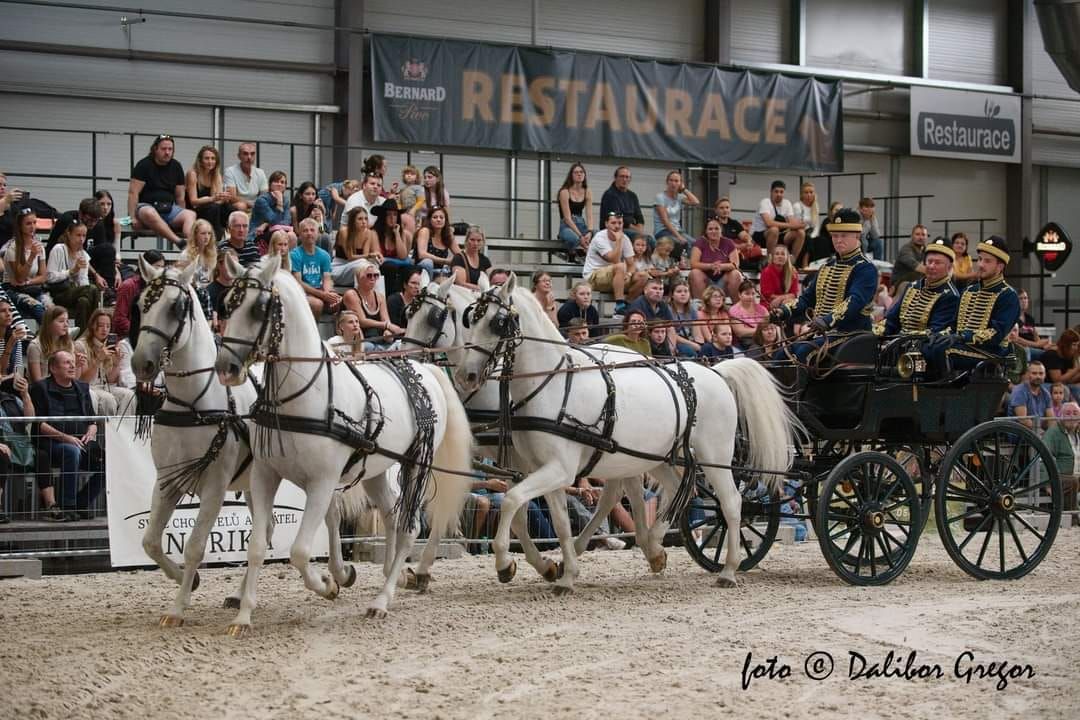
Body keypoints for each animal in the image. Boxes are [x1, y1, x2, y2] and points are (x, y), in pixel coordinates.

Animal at [214, 254, 473, 634]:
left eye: (259, 307)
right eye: (228, 303)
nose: (226, 368)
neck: (304, 395)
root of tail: (423, 370)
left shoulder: (322, 483)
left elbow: (300, 551)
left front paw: (328, 584)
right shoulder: (264, 476)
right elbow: (258, 545)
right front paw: (243, 616)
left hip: (417, 465)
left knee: (409, 527)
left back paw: (382, 600)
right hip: (375, 469)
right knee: (392, 518)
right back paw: (391, 578)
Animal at [451, 273, 799, 595]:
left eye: (497, 322)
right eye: (471, 318)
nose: (465, 376)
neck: (553, 383)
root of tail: (716, 371)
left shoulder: (559, 469)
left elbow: (512, 501)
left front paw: (505, 563)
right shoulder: (543, 470)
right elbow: (558, 522)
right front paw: (564, 573)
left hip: (715, 456)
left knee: (730, 502)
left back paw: (727, 570)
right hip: (654, 456)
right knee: (676, 490)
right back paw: (655, 547)